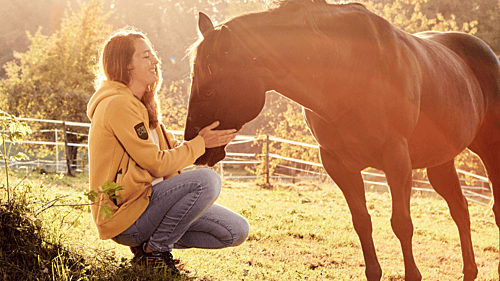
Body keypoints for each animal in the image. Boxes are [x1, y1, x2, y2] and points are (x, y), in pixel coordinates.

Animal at [183, 1, 500, 278]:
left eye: (209, 90)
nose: (197, 147)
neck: (347, 73)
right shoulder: (338, 163)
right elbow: (362, 222)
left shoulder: (396, 159)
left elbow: (402, 224)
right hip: (441, 162)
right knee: (461, 210)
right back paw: (469, 272)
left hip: (489, 150)